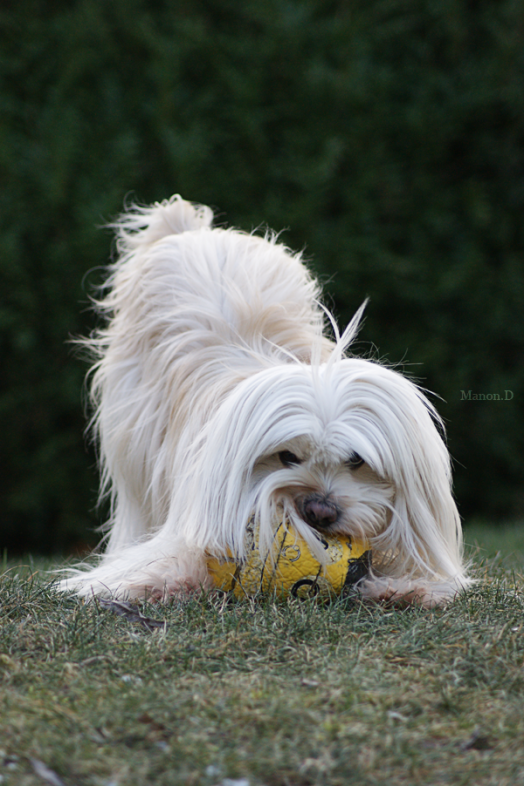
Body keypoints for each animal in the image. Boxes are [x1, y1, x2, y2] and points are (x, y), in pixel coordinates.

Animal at [61, 195, 469, 606]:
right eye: (286, 457)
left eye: (357, 460)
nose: (319, 511)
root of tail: (189, 232)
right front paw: (157, 582)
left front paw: (401, 587)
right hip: (133, 443)